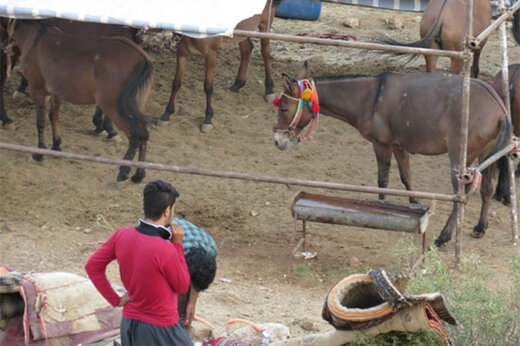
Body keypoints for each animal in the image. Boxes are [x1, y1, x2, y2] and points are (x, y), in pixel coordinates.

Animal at [8, 21, 152, 184]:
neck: (35, 39)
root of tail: (142, 57)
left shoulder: (37, 89)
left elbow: (40, 121)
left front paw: (38, 153)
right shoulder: (57, 92)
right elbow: (53, 117)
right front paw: (56, 145)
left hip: (113, 106)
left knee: (136, 135)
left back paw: (123, 171)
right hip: (135, 107)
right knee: (144, 135)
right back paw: (138, 175)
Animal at [160, 0, 284, 132]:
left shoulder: (210, 54)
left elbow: (208, 86)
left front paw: (208, 119)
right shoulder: (182, 53)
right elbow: (176, 83)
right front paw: (166, 114)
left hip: (265, 24)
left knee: (265, 52)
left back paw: (269, 89)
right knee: (246, 49)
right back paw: (238, 84)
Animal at [272, 63, 512, 247]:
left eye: (283, 108)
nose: (277, 141)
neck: (369, 98)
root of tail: (499, 108)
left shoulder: (382, 145)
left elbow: (383, 180)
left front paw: (380, 208)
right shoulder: (399, 146)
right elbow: (406, 177)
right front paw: (413, 204)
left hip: (460, 158)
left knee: (461, 195)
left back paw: (444, 237)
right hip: (486, 155)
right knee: (487, 189)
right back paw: (480, 227)